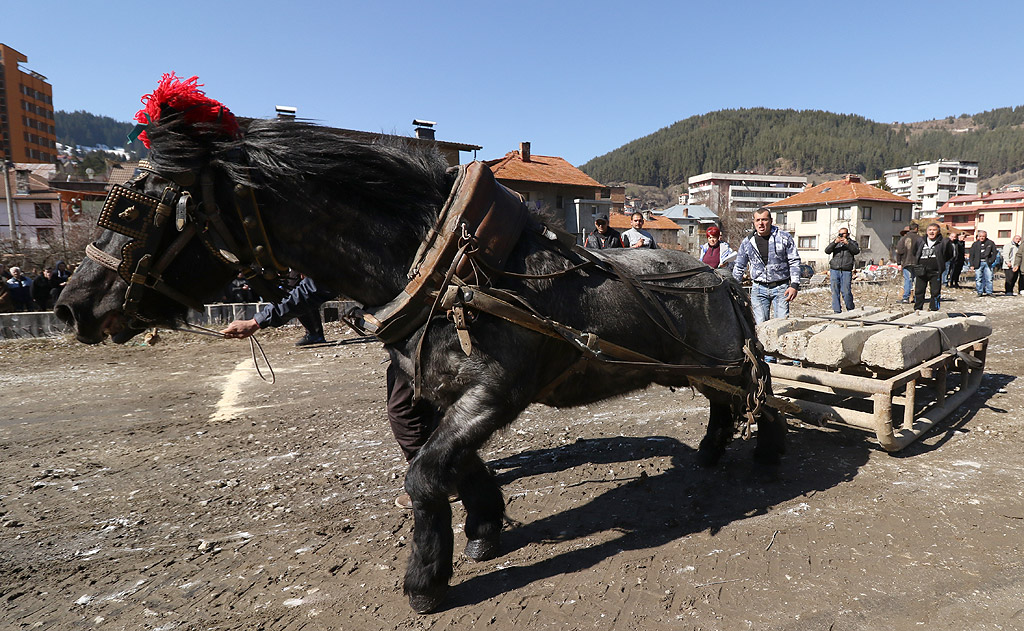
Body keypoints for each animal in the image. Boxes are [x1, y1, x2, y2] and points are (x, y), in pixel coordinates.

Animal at [54, 87, 782, 610]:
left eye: (132, 208)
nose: (70, 307)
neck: (441, 265)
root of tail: (721, 274)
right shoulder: (438, 393)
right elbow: (445, 462)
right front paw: (484, 525)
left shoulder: (495, 390)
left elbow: (426, 472)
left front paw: (426, 577)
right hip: (701, 365)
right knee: (728, 399)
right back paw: (712, 448)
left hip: (724, 357)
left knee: (762, 389)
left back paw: (767, 456)